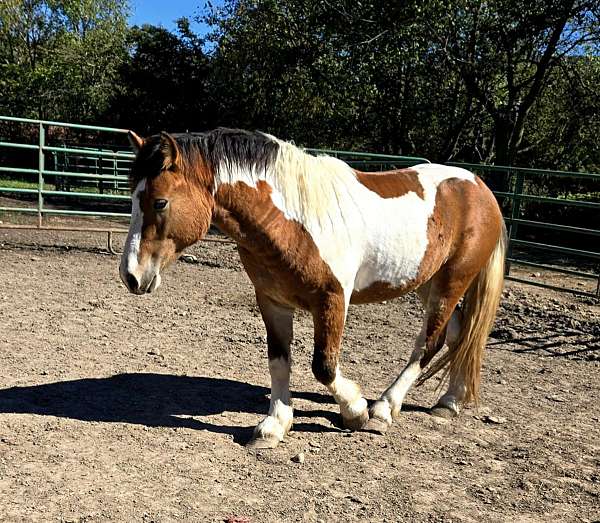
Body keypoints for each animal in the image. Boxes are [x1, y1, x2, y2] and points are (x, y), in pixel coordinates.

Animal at [118, 128, 506, 450]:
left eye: (160, 202)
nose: (131, 275)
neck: (294, 221)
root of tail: (479, 187)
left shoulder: (332, 300)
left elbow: (324, 366)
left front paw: (355, 410)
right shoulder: (272, 301)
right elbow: (278, 361)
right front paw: (274, 425)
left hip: (452, 282)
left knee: (430, 343)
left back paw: (383, 408)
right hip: (425, 282)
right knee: (459, 335)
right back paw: (449, 402)